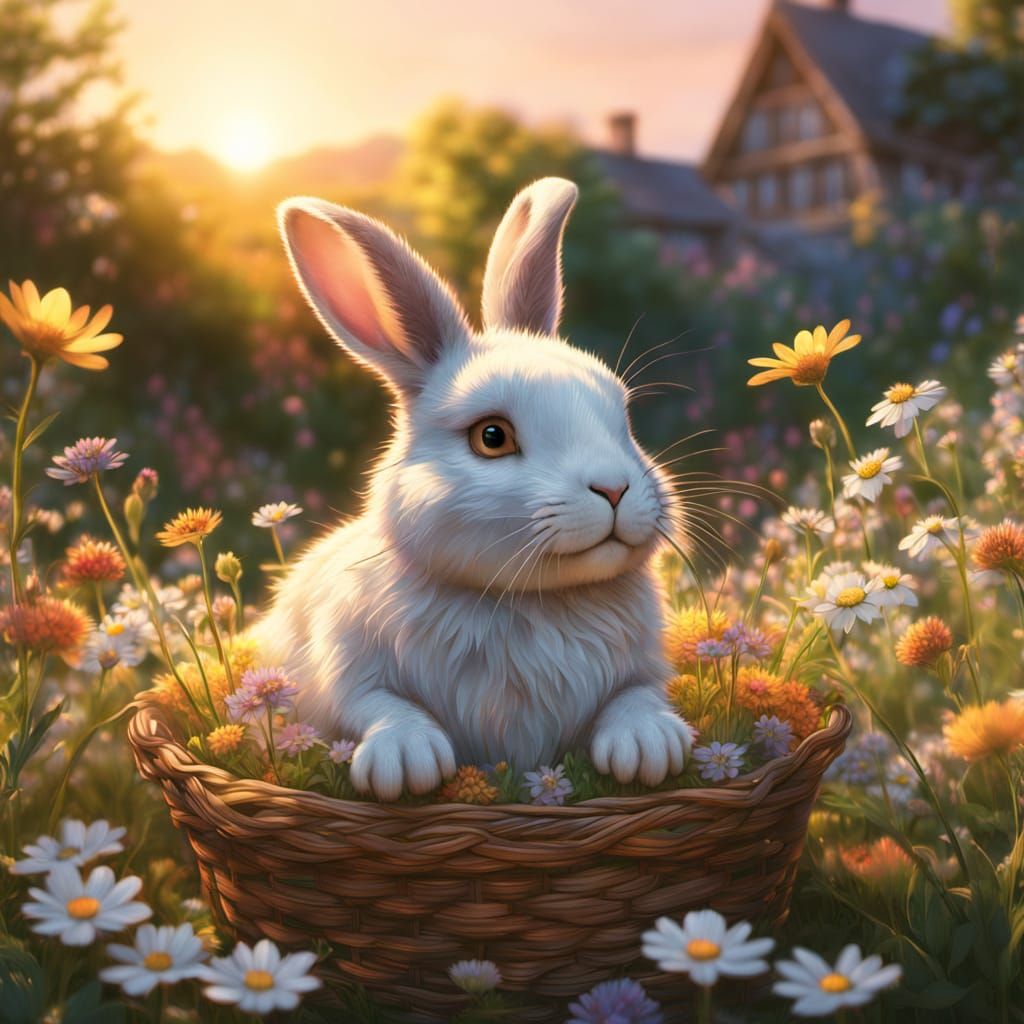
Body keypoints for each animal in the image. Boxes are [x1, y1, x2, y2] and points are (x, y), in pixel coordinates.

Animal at [255, 177, 693, 800]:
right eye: (492, 436)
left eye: (622, 417)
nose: (614, 489)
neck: (527, 602)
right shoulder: (340, 668)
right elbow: (376, 704)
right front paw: (406, 761)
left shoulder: (644, 668)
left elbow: (638, 694)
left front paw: (650, 746)